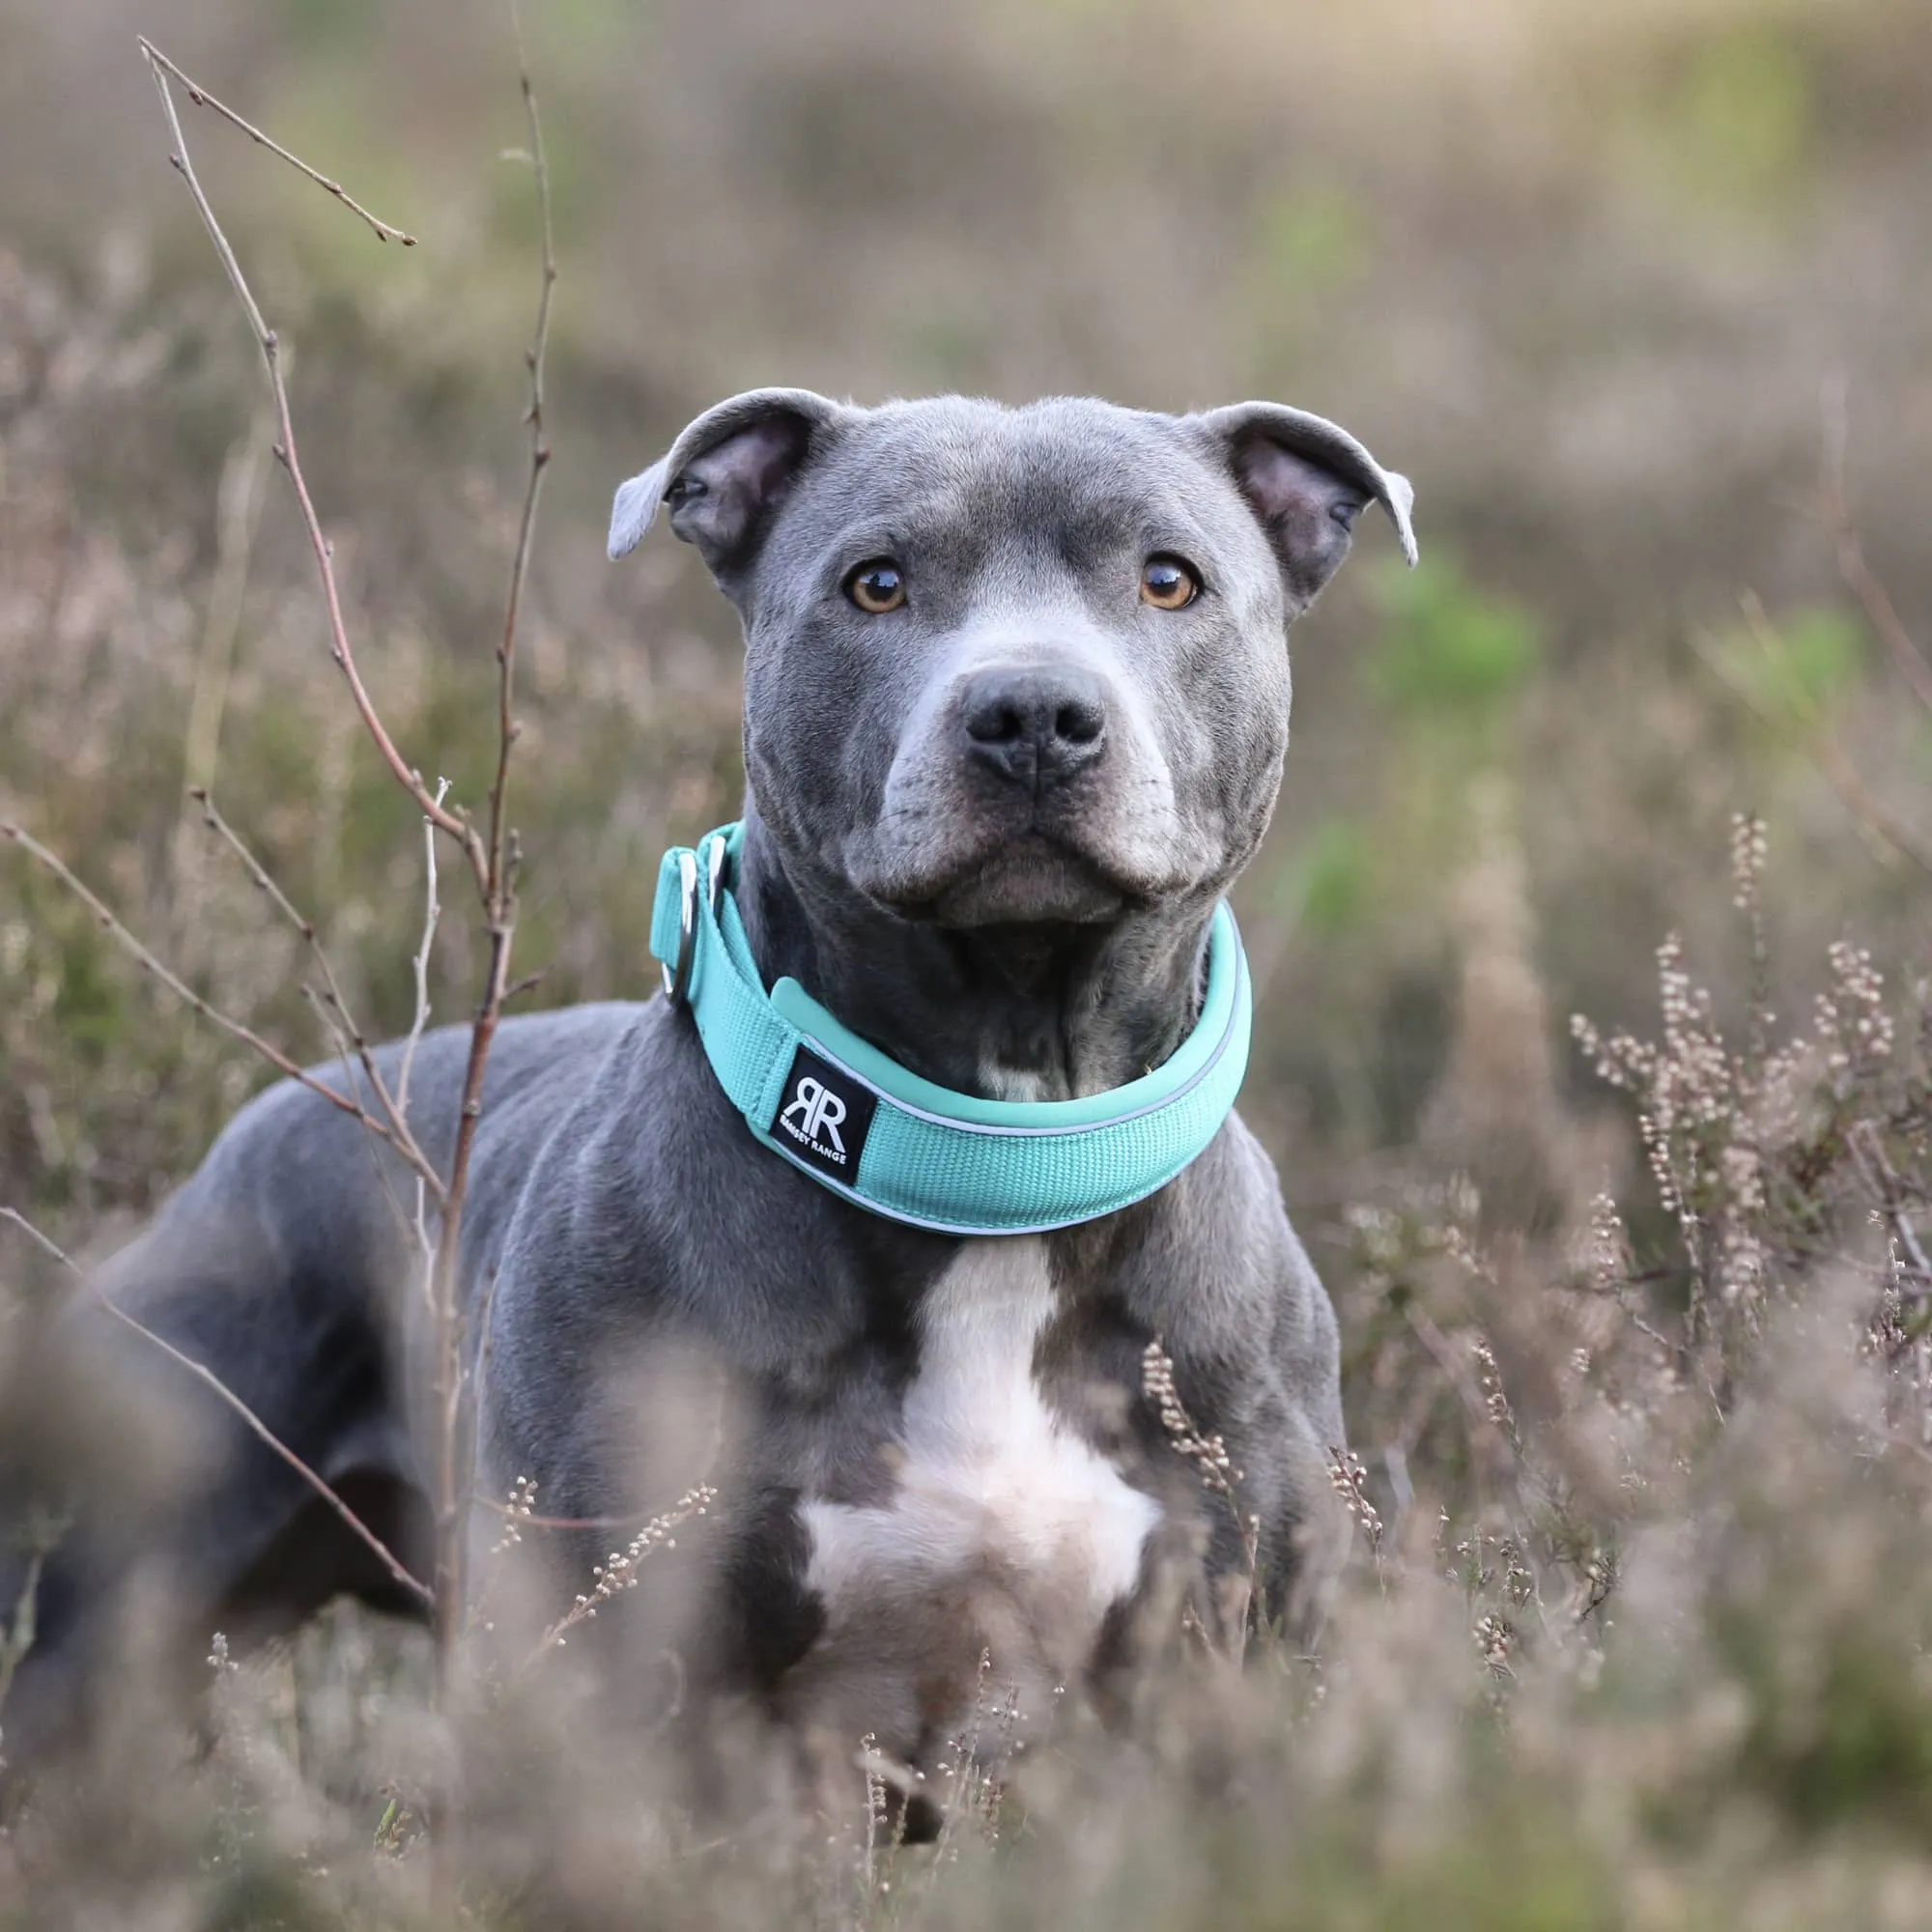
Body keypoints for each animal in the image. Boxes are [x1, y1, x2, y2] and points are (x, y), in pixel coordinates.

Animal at [3, 392, 1422, 1808]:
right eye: (876, 582)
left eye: (1169, 579)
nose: (1030, 710)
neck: (998, 1159)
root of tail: (258, 1124)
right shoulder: (607, 1667)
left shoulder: (1240, 1652)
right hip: (114, 1605)